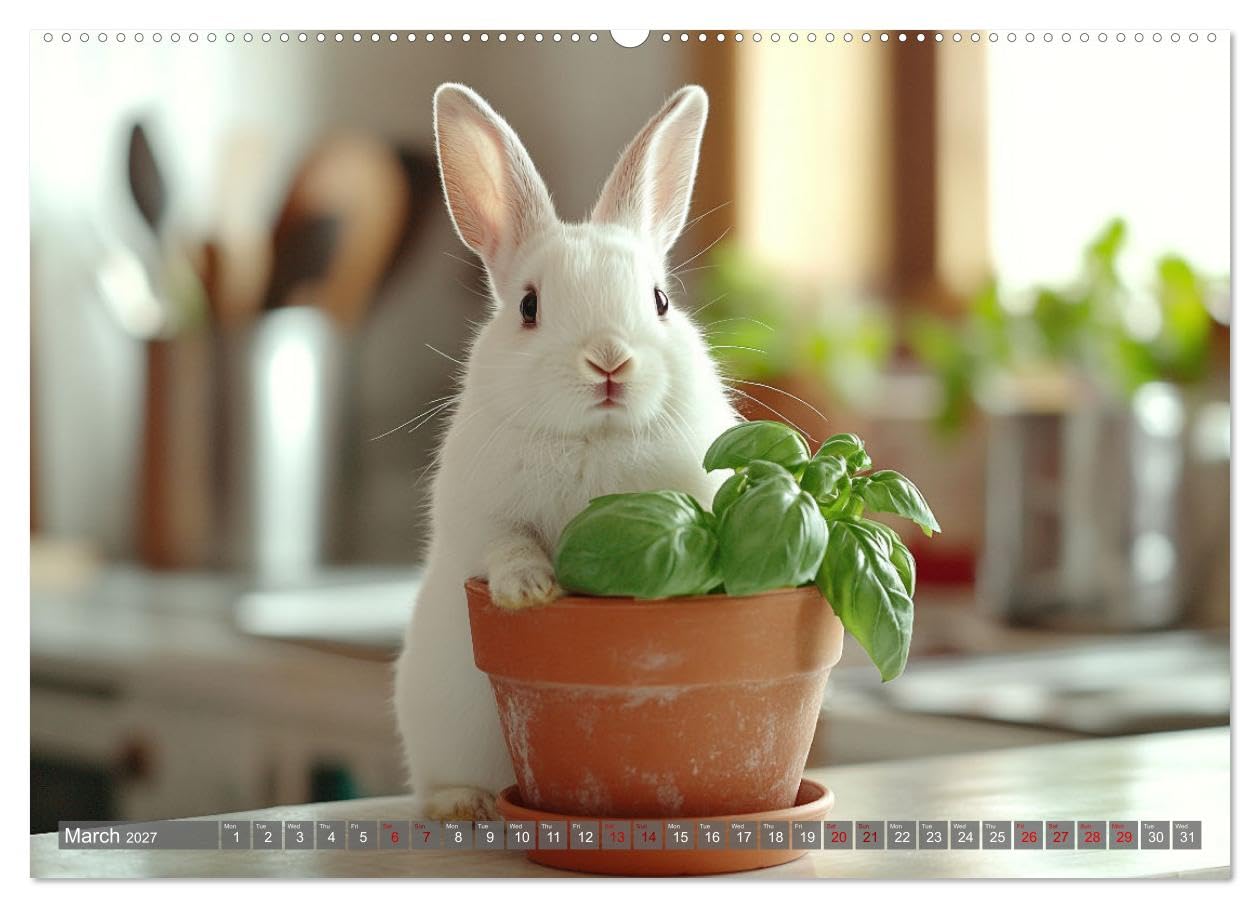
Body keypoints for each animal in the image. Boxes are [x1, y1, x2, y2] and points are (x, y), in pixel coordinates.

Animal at [393, 83, 739, 821]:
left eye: (660, 300)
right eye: (528, 306)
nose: (609, 360)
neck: (592, 441)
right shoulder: (482, 517)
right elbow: (508, 546)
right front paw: (530, 591)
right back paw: (465, 805)